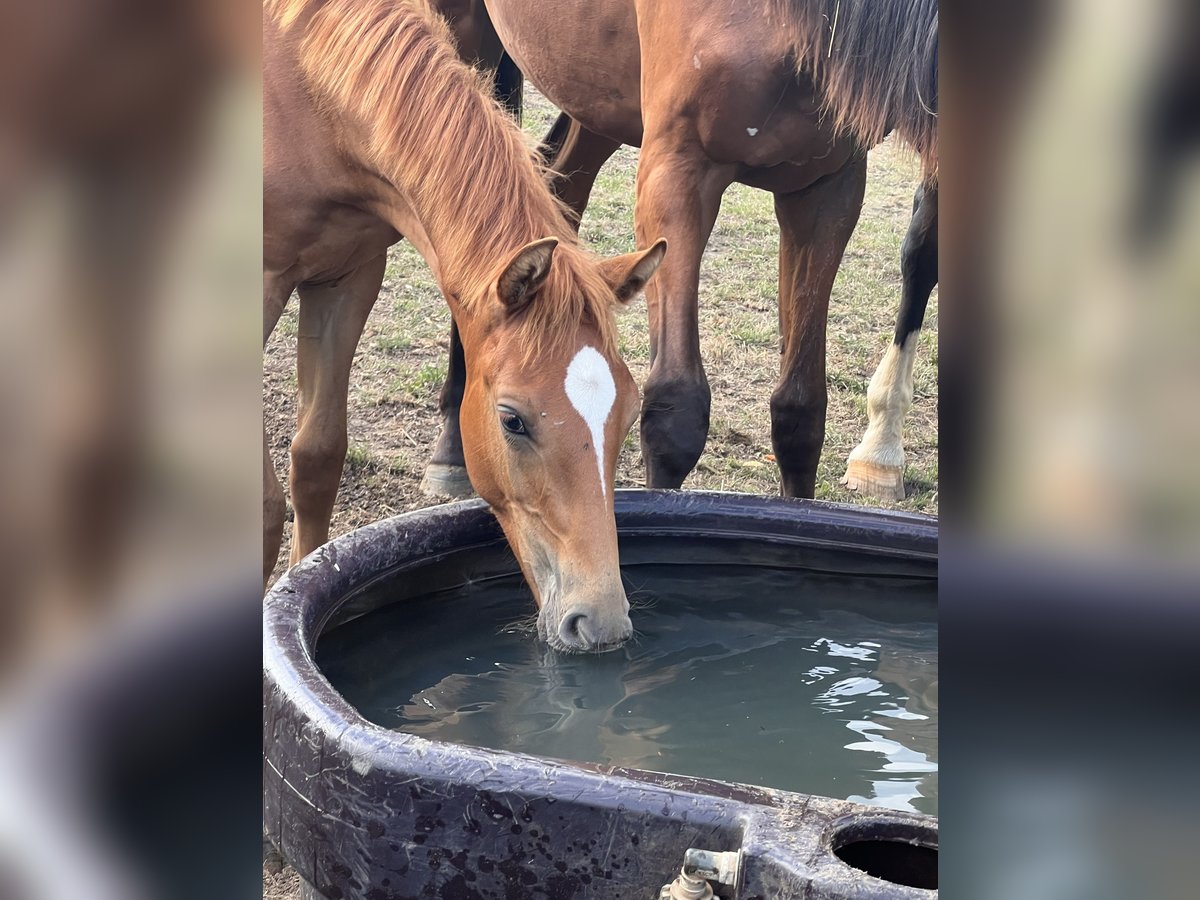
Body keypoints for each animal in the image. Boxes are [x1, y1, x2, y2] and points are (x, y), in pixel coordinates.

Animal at [264, 0, 672, 657]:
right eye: (512, 420)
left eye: (630, 412)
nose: (601, 622)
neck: (302, 90)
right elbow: (265, 506)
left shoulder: (348, 277)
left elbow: (317, 460)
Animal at [427, 0, 940, 501]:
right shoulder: (676, 176)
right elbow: (676, 411)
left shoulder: (827, 188)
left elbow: (800, 411)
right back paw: (452, 445)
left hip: (596, 93)